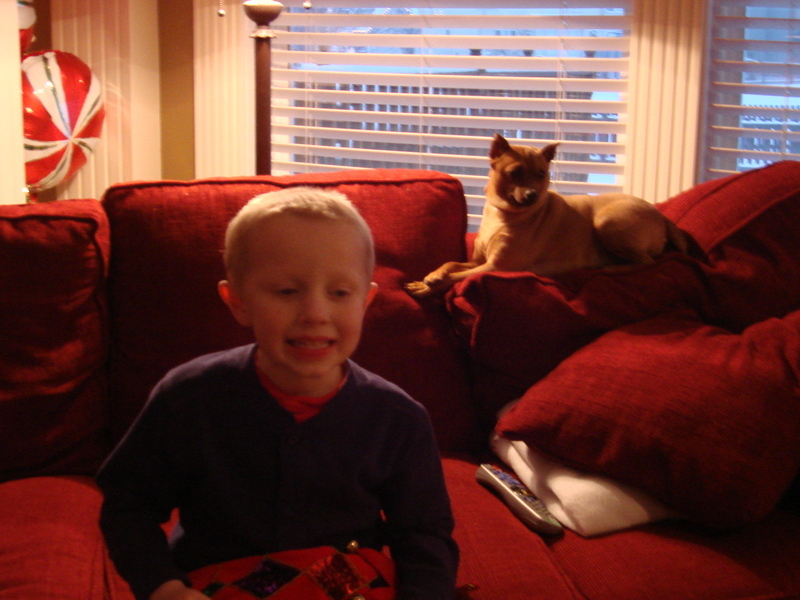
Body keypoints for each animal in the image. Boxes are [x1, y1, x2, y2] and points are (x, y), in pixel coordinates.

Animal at [406, 134, 688, 298]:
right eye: (514, 172)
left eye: (541, 174)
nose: (532, 194)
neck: (504, 213)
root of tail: (661, 217)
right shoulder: (477, 261)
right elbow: (451, 264)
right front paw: (434, 274)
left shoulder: (496, 267)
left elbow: (456, 277)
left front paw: (427, 286)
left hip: (608, 222)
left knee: (647, 261)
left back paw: (611, 268)